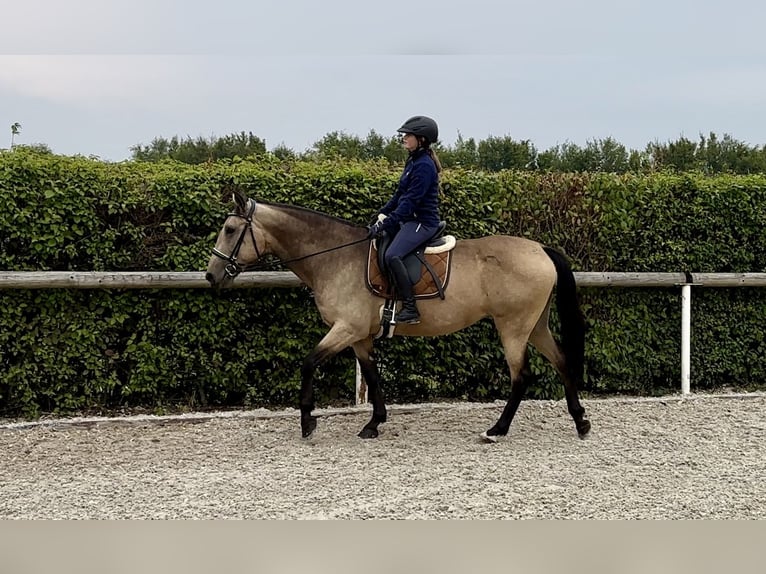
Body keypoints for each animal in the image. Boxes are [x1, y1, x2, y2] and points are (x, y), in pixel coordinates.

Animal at [206, 191, 592, 444]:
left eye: (229, 230)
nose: (212, 276)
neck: (334, 257)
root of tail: (540, 248)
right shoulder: (360, 335)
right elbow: (372, 376)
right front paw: (374, 423)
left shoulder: (346, 329)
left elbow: (309, 363)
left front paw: (307, 422)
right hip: (534, 325)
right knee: (561, 361)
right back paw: (580, 421)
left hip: (512, 327)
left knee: (521, 376)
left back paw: (497, 430)